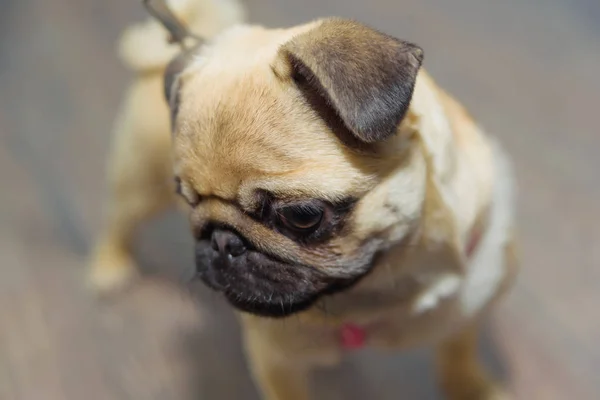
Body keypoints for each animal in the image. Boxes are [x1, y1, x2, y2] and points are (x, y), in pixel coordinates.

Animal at [88, 0, 516, 400]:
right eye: (186, 200)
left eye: (301, 216)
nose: (224, 242)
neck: (379, 290)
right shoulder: (277, 360)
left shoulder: (471, 308)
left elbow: (459, 351)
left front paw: (473, 386)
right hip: (139, 182)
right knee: (119, 220)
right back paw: (109, 268)